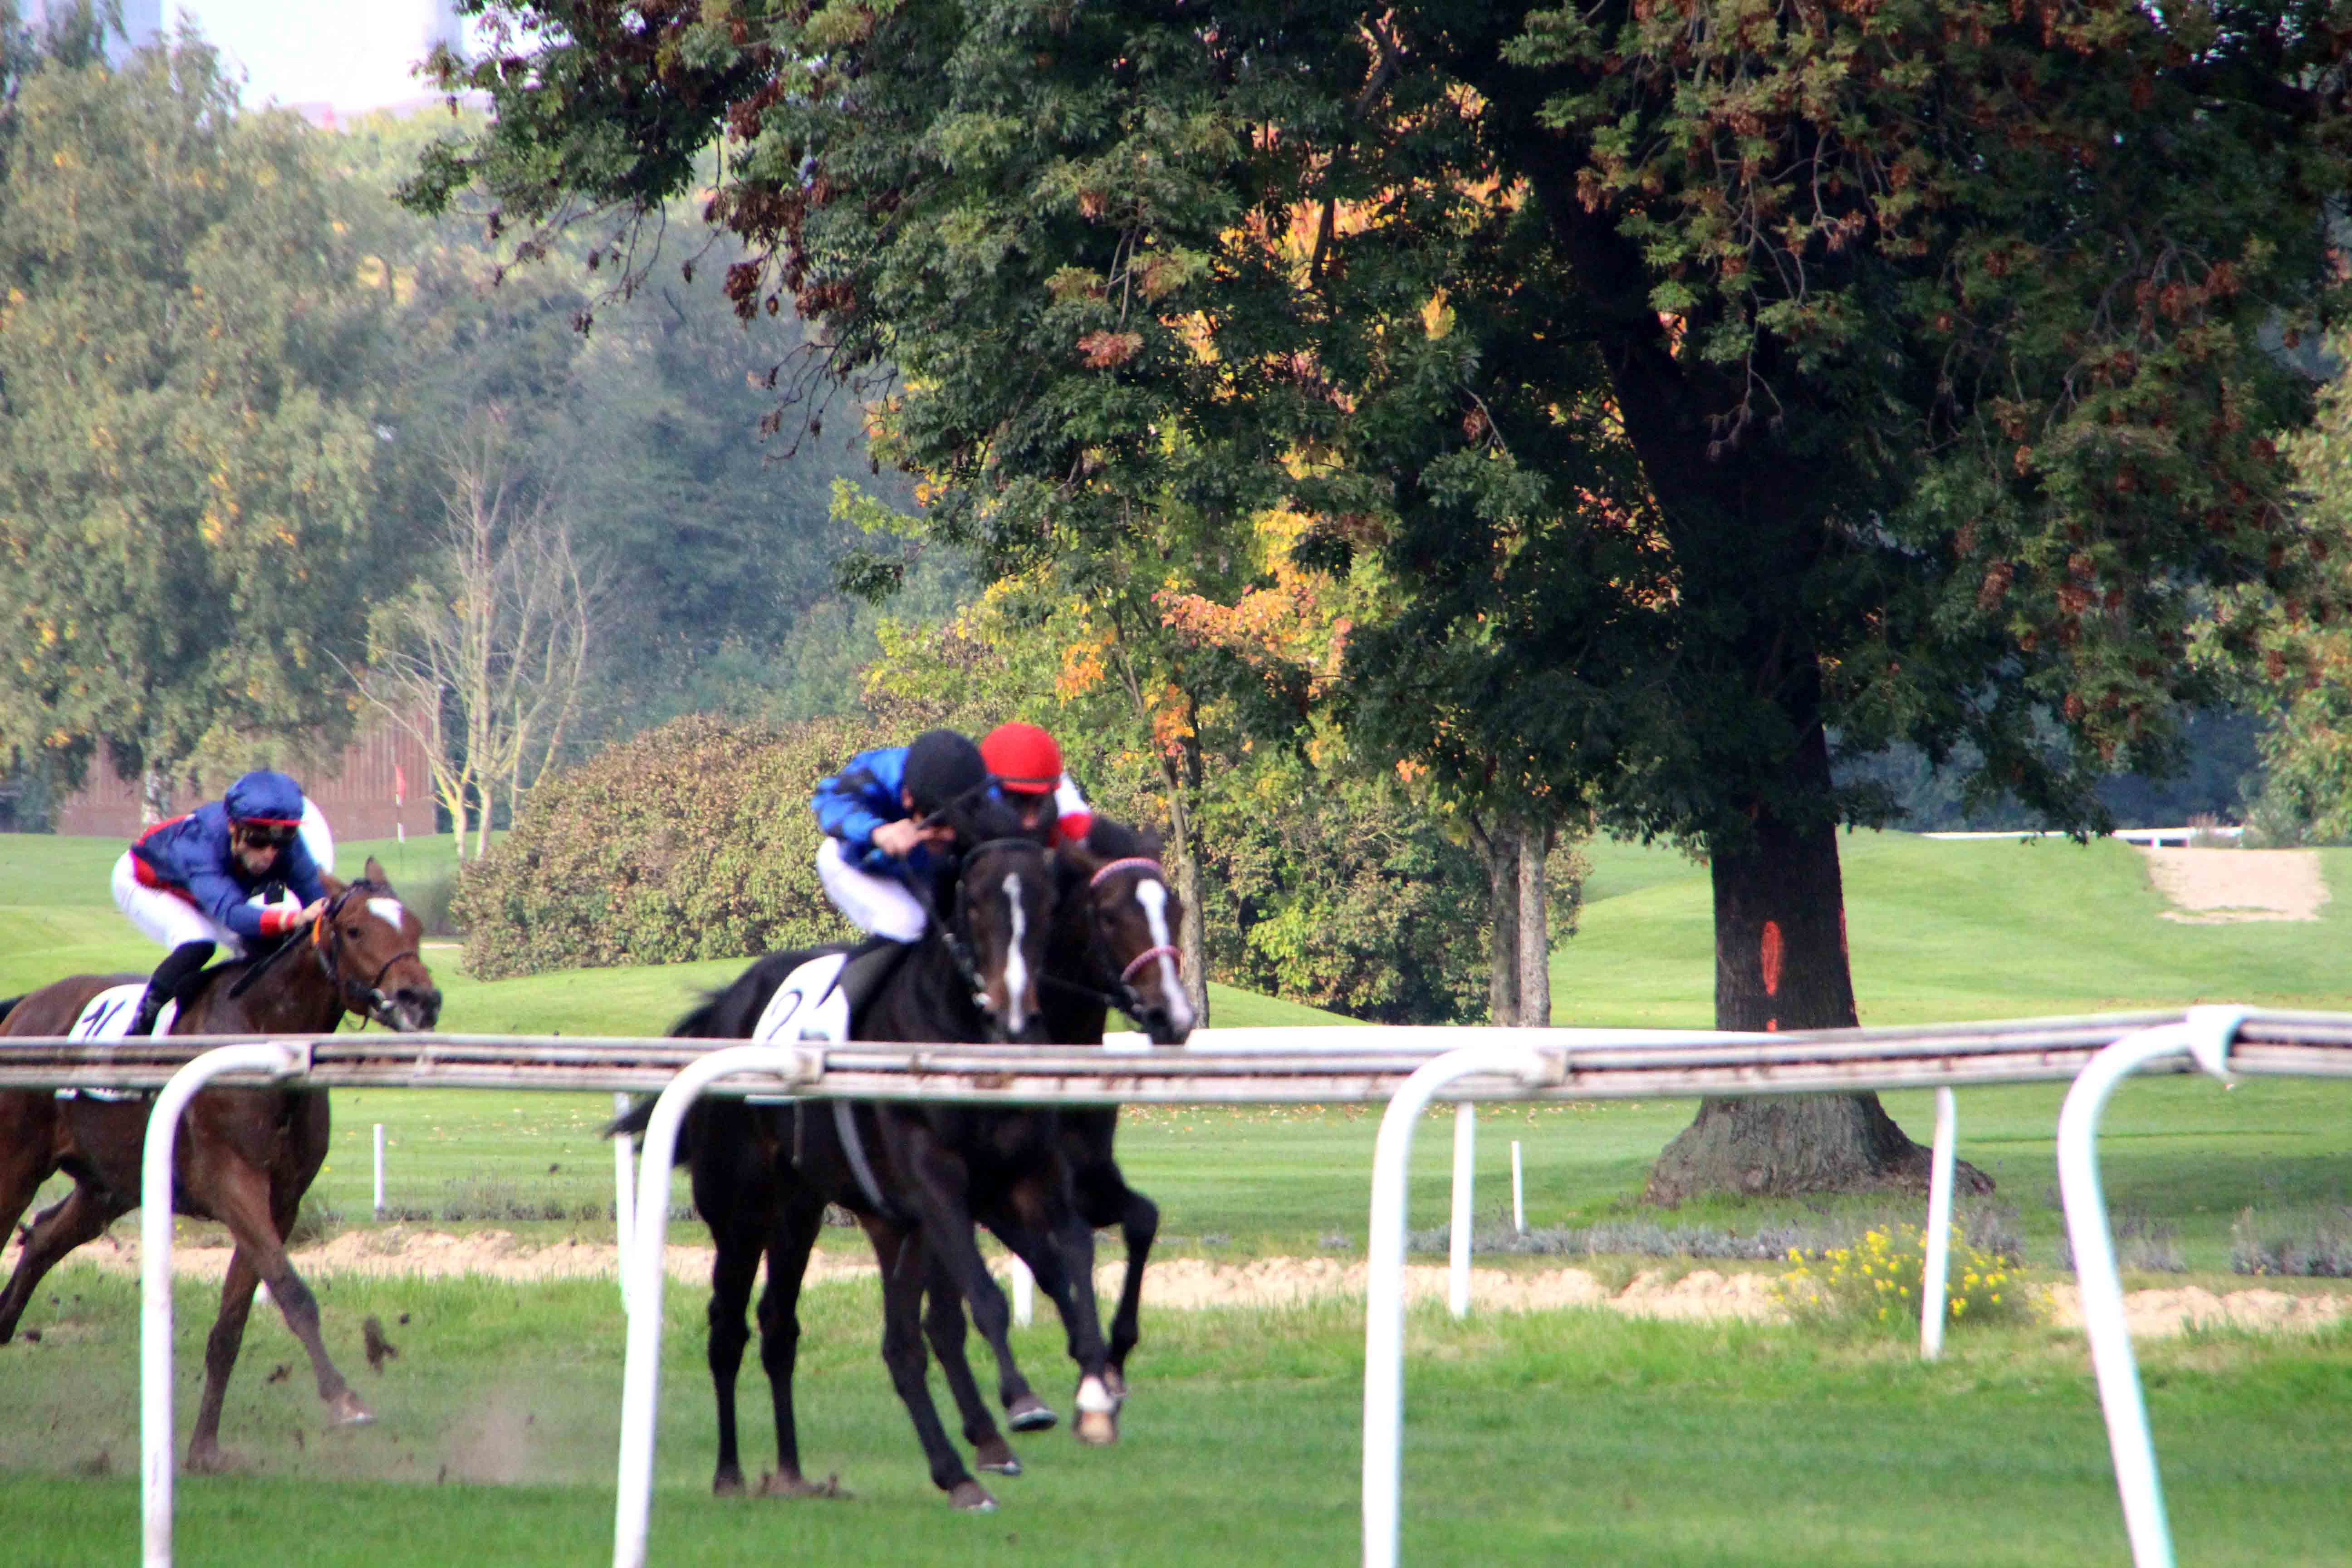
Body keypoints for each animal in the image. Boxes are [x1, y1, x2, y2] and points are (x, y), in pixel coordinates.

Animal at [0, 865, 442, 1476]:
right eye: (354, 930)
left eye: (416, 927)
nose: (421, 999)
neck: (261, 1031)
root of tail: (24, 1006)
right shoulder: (234, 1183)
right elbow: (293, 1292)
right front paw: (344, 1400)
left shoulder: (280, 1202)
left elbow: (232, 1326)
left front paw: (205, 1449)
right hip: (15, 1162)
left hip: (108, 1186)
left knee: (42, 1239)